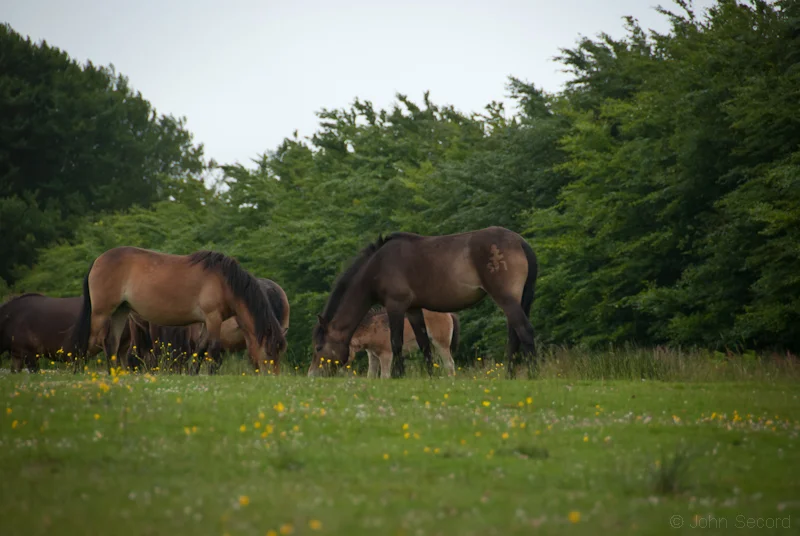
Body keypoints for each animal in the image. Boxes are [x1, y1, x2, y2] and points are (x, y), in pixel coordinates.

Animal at [70, 247, 287, 375]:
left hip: (120, 312)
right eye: (269, 351)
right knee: (89, 340)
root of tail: (98, 260)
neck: (224, 282)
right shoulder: (213, 318)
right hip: (101, 313)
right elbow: (214, 351)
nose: (273, 378)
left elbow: (200, 350)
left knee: (111, 344)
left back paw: (114, 375)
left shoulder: (207, 322)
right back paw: (79, 372)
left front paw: (192, 374)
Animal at [309, 226, 537, 378]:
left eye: (319, 347)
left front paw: (399, 376)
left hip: (505, 298)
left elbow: (396, 342)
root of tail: (520, 242)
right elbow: (423, 344)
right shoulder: (413, 309)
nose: (313, 375)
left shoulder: (396, 306)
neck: (377, 267)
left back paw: (532, 374)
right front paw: (430, 377)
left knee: (524, 331)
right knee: (514, 334)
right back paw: (509, 375)